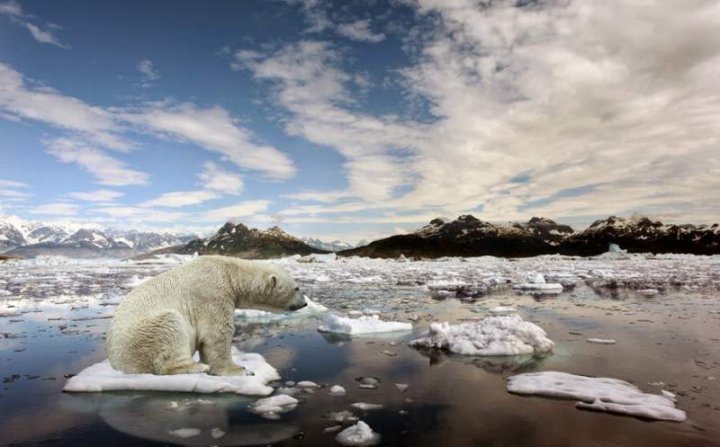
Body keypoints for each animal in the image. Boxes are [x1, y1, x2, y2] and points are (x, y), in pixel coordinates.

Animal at [106, 258, 304, 376]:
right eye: (297, 288)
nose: (304, 303)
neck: (229, 272)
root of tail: (116, 364)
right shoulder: (212, 294)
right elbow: (217, 333)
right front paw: (240, 369)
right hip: (141, 337)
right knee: (170, 327)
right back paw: (195, 367)